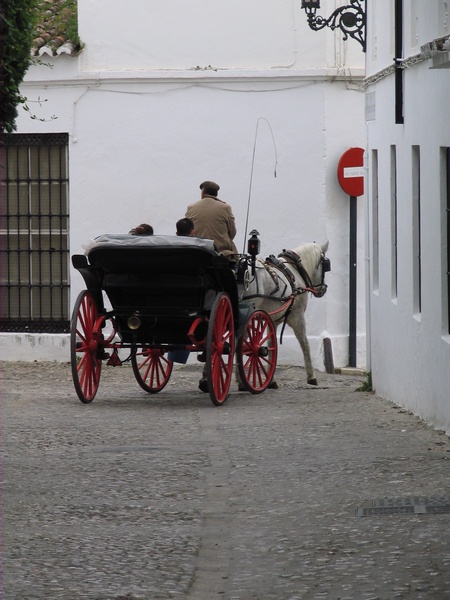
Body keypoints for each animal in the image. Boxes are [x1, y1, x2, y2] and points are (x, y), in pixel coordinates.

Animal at [239, 239, 330, 384]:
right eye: (325, 265)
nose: (323, 289)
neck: (295, 271)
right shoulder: (297, 317)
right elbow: (304, 343)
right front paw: (311, 376)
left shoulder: (273, 320)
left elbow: (271, 344)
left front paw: (271, 380)